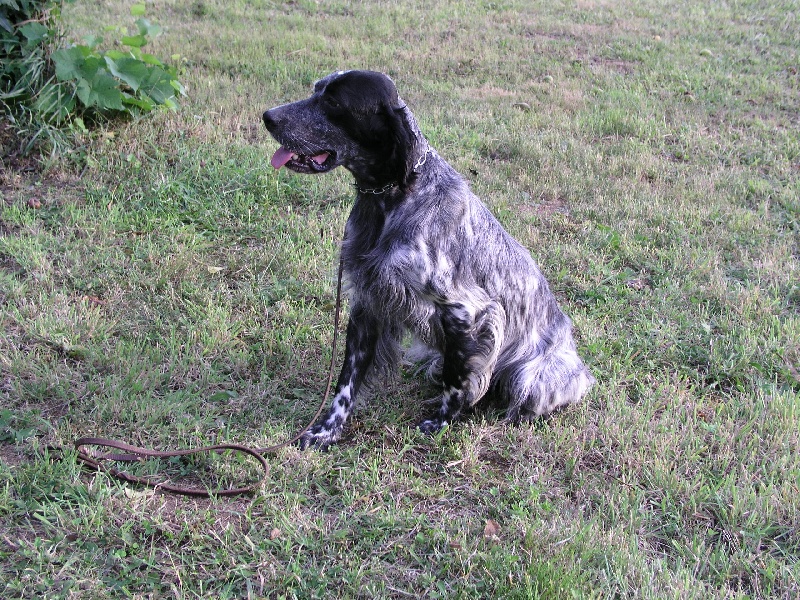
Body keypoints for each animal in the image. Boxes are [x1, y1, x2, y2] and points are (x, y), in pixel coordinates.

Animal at [262, 70, 592, 448]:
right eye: (316, 89)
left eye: (332, 102)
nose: (268, 116)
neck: (391, 198)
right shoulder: (368, 303)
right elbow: (346, 383)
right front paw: (326, 430)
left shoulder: (470, 314)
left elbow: (458, 381)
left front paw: (440, 423)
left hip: (534, 377)